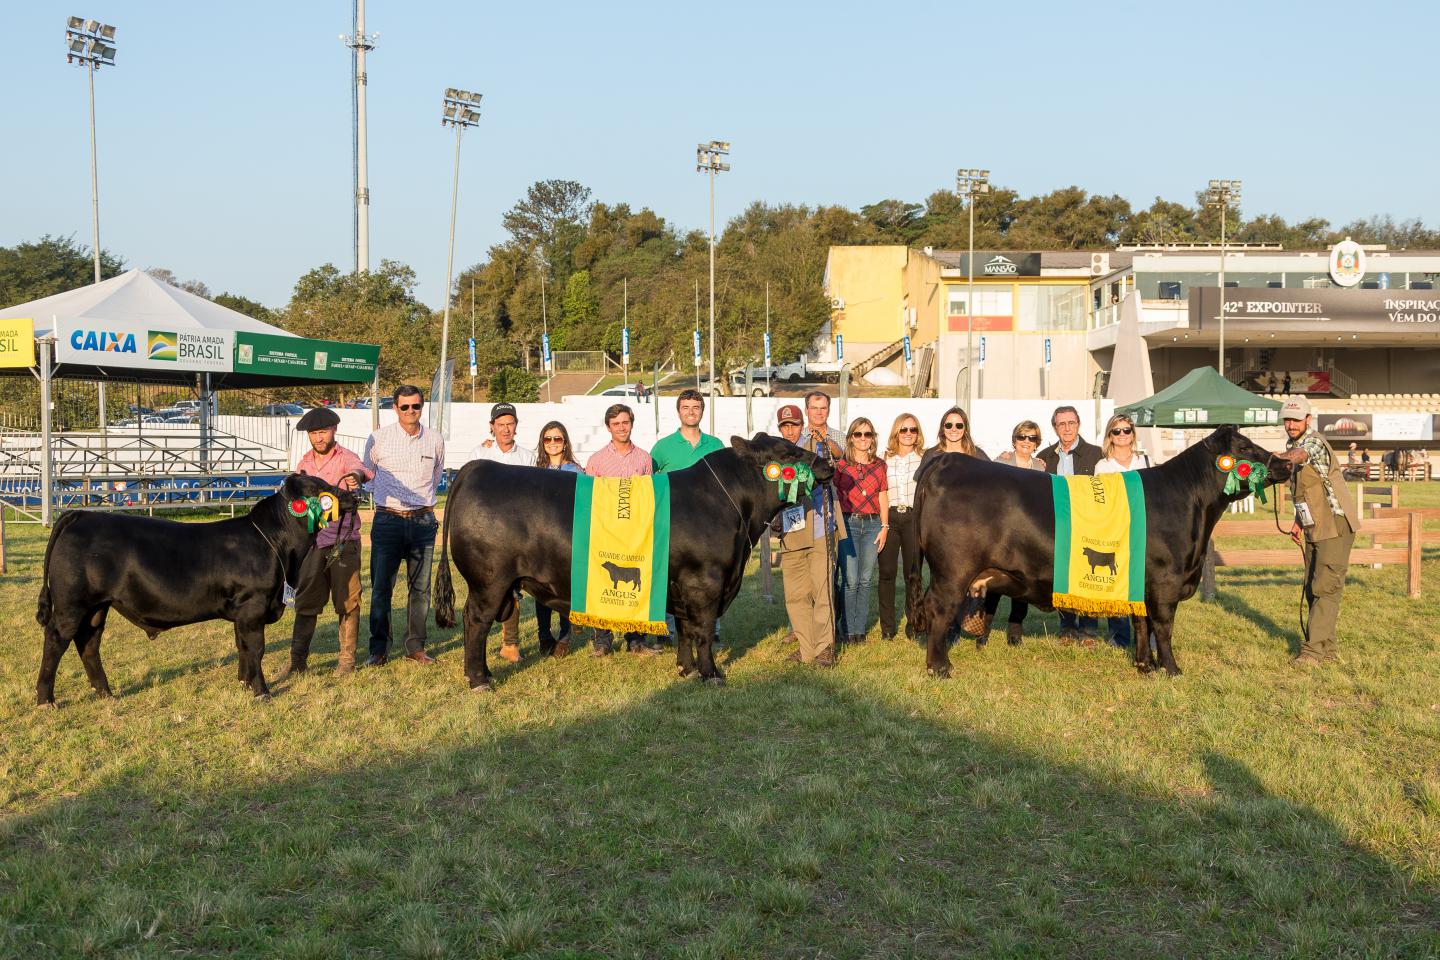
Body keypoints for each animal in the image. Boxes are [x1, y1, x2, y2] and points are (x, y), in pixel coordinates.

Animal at [35, 474, 355, 705]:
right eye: (320, 487)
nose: (353, 495)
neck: (277, 545)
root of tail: (81, 514)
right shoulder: (253, 605)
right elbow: (256, 648)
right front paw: (262, 691)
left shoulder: (241, 612)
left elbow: (242, 647)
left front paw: (244, 683)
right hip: (71, 604)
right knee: (55, 641)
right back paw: (46, 700)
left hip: (96, 607)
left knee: (88, 643)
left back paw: (106, 694)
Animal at [429, 434, 835, 690]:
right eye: (788, 454)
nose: (826, 462)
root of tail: (478, 467)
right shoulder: (706, 583)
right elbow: (703, 632)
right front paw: (711, 674)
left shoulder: (682, 587)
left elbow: (685, 630)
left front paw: (686, 670)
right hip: (489, 581)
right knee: (475, 623)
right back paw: (479, 679)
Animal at [904, 428, 1290, 676]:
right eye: (1246, 448)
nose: (1287, 463)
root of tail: (949, 461)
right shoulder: (1166, 582)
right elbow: (1164, 627)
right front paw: (1172, 669)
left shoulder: (1142, 585)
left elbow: (1141, 623)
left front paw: (1144, 666)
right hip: (953, 570)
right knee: (938, 609)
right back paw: (940, 667)